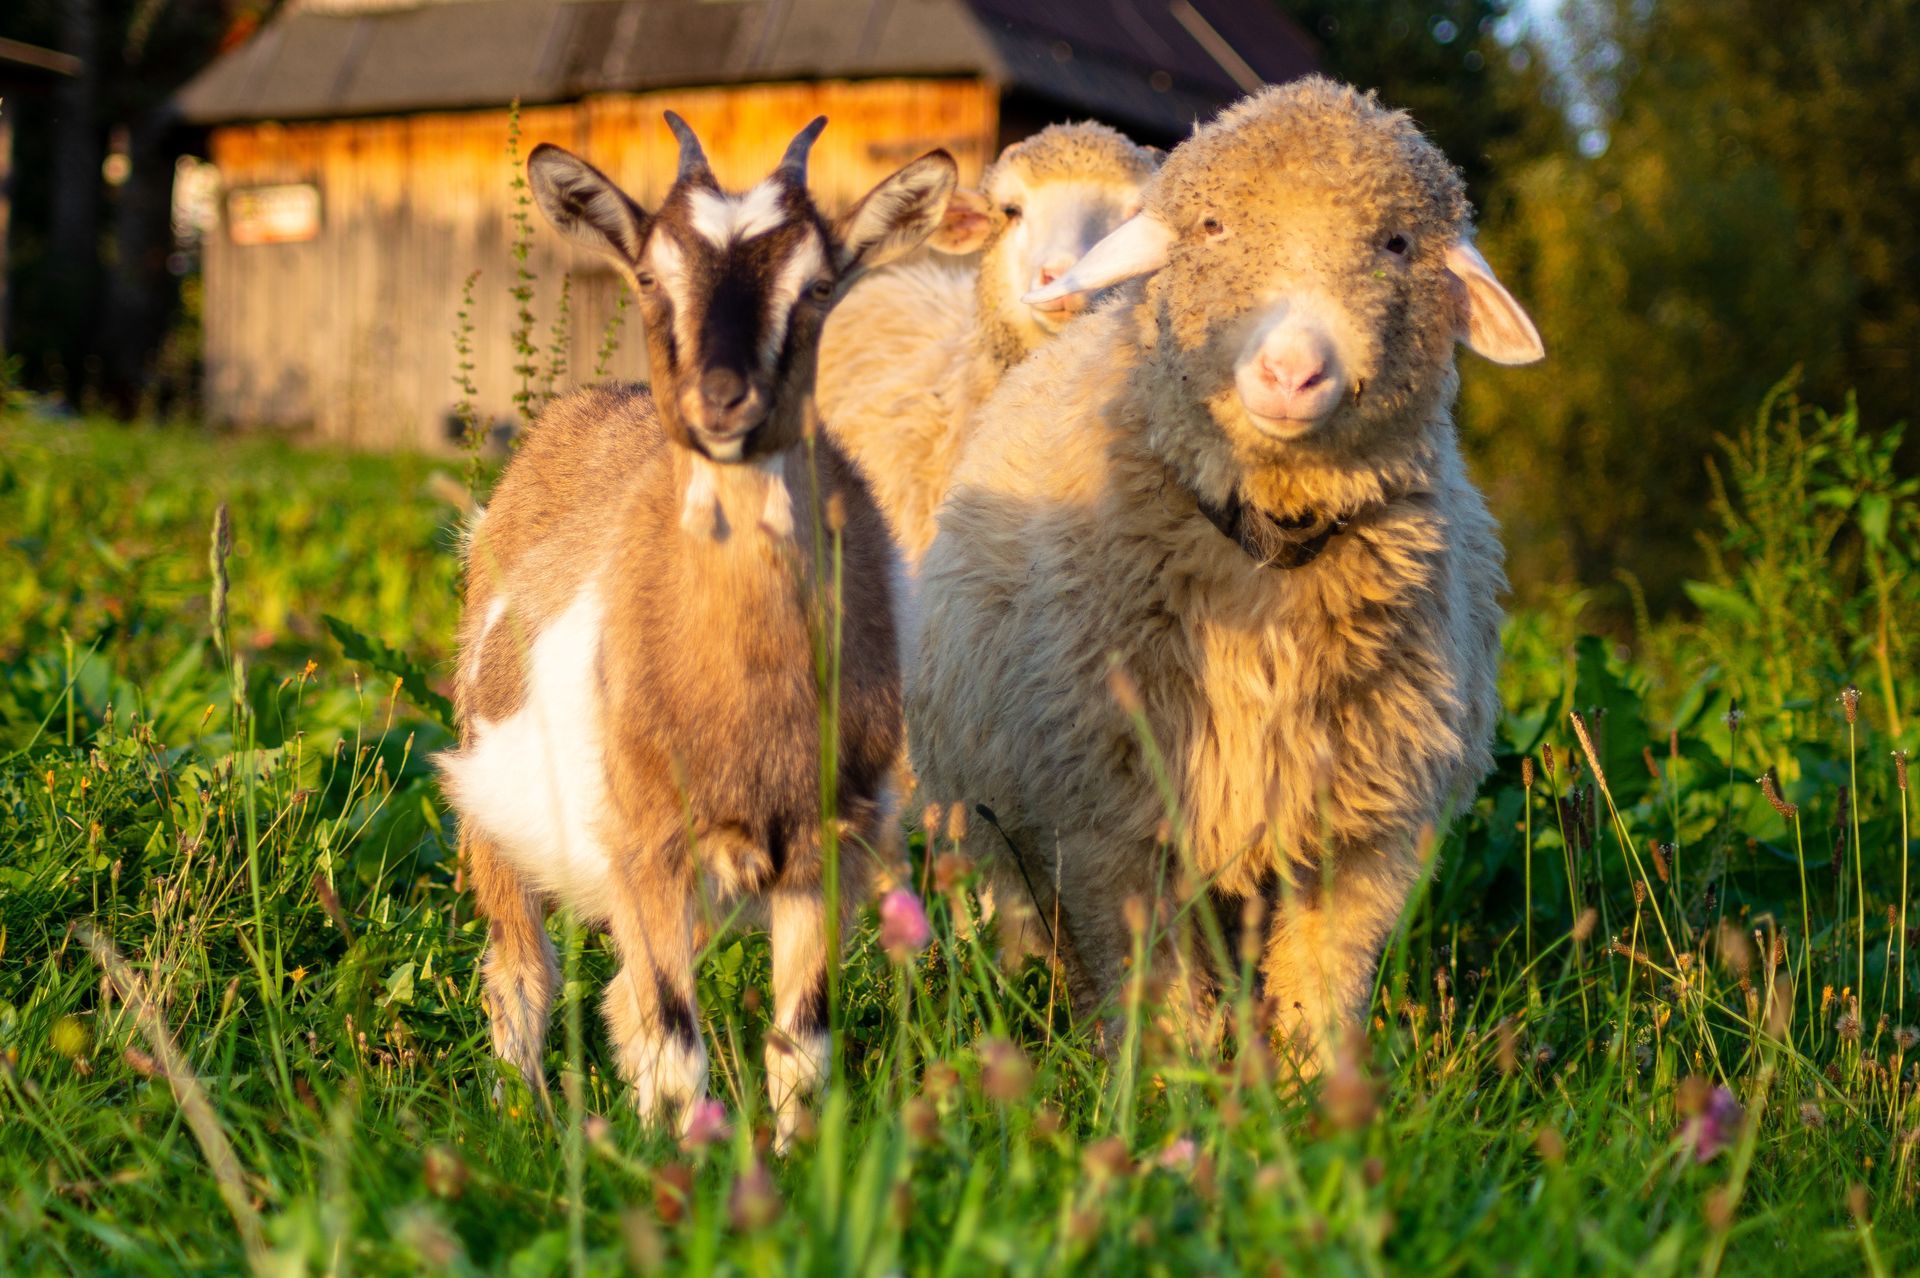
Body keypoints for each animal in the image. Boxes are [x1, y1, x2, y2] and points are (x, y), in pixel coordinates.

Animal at [436, 113, 956, 1145]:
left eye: (819, 285)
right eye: (649, 274)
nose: (723, 401)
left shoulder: (825, 843)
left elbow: (800, 1042)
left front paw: (787, 1161)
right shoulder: (648, 844)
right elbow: (678, 1043)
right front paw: (684, 1168)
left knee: (622, 1000)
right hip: (491, 798)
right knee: (523, 975)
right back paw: (525, 1117)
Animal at [906, 77, 1544, 1070]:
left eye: (1396, 243)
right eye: (1211, 226)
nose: (1292, 369)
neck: (1266, 549)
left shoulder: (1366, 834)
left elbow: (1322, 979)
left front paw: (1319, 1089)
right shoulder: (1111, 822)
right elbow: (1152, 978)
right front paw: (1165, 1080)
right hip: (988, 807)